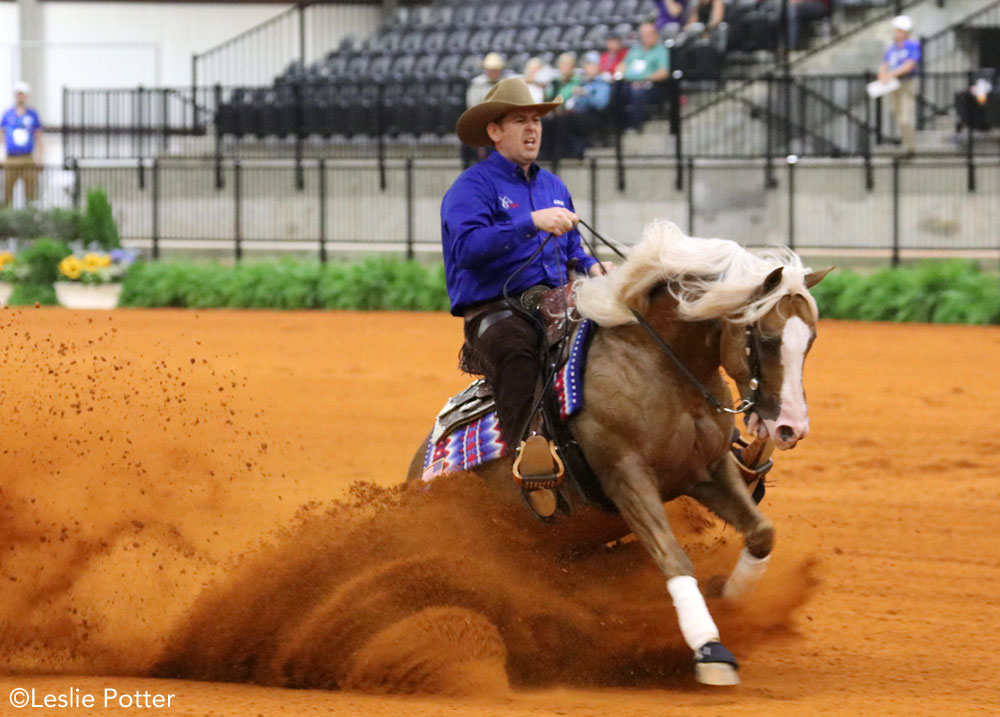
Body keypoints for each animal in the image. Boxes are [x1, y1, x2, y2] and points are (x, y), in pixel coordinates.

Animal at [410, 221, 832, 684]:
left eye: (811, 339)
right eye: (768, 339)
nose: (791, 427)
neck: (658, 367)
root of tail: (420, 470)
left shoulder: (707, 470)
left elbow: (761, 533)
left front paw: (731, 596)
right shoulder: (626, 478)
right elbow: (674, 558)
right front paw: (710, 650)